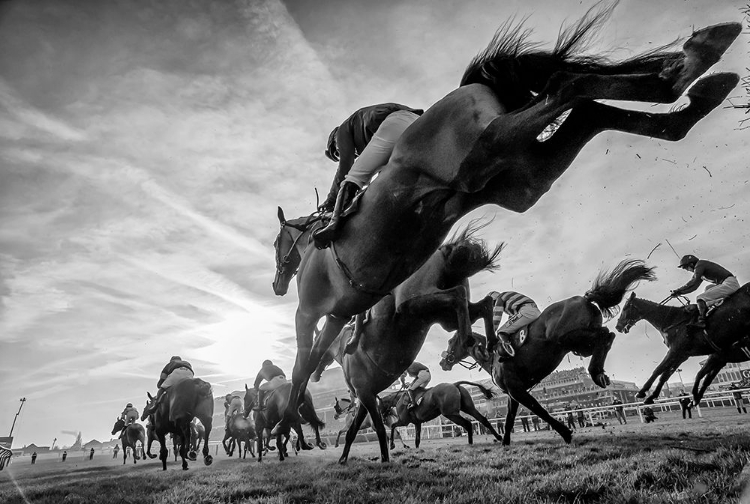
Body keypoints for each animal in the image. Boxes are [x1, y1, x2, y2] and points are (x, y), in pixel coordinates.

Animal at [308, 226, 502, 462]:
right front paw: (344, 458)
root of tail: (442, 251)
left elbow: (379, 428)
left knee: (458, 295)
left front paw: (384, 458)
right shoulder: (366, 396)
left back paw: (467, 339)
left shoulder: (365, 393)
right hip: (441, 316)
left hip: (414, 303)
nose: (314, 374)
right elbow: (353, 431)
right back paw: (488, 341)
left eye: (317, 346)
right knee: (482, 304)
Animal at [440, 260, 656, 444]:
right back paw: (599, 373)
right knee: (607, 336)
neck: (492, 357)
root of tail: (584, 299)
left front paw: (566, 432)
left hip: (566, 339)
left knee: (604, 335)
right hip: (580, 346)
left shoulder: (517, 390)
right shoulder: (512, 393)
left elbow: (540, 411)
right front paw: (504, 442)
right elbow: (510, 419)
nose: (443, 362)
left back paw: (595, 373)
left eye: (451, 341)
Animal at [616, 286, 750, 404]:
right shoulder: (682, 355)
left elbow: (658, 369)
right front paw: (651, 396)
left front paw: (641, 392)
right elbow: (665, 375)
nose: (618, 326)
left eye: (625, 308)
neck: (671, 320)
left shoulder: (676, 350)